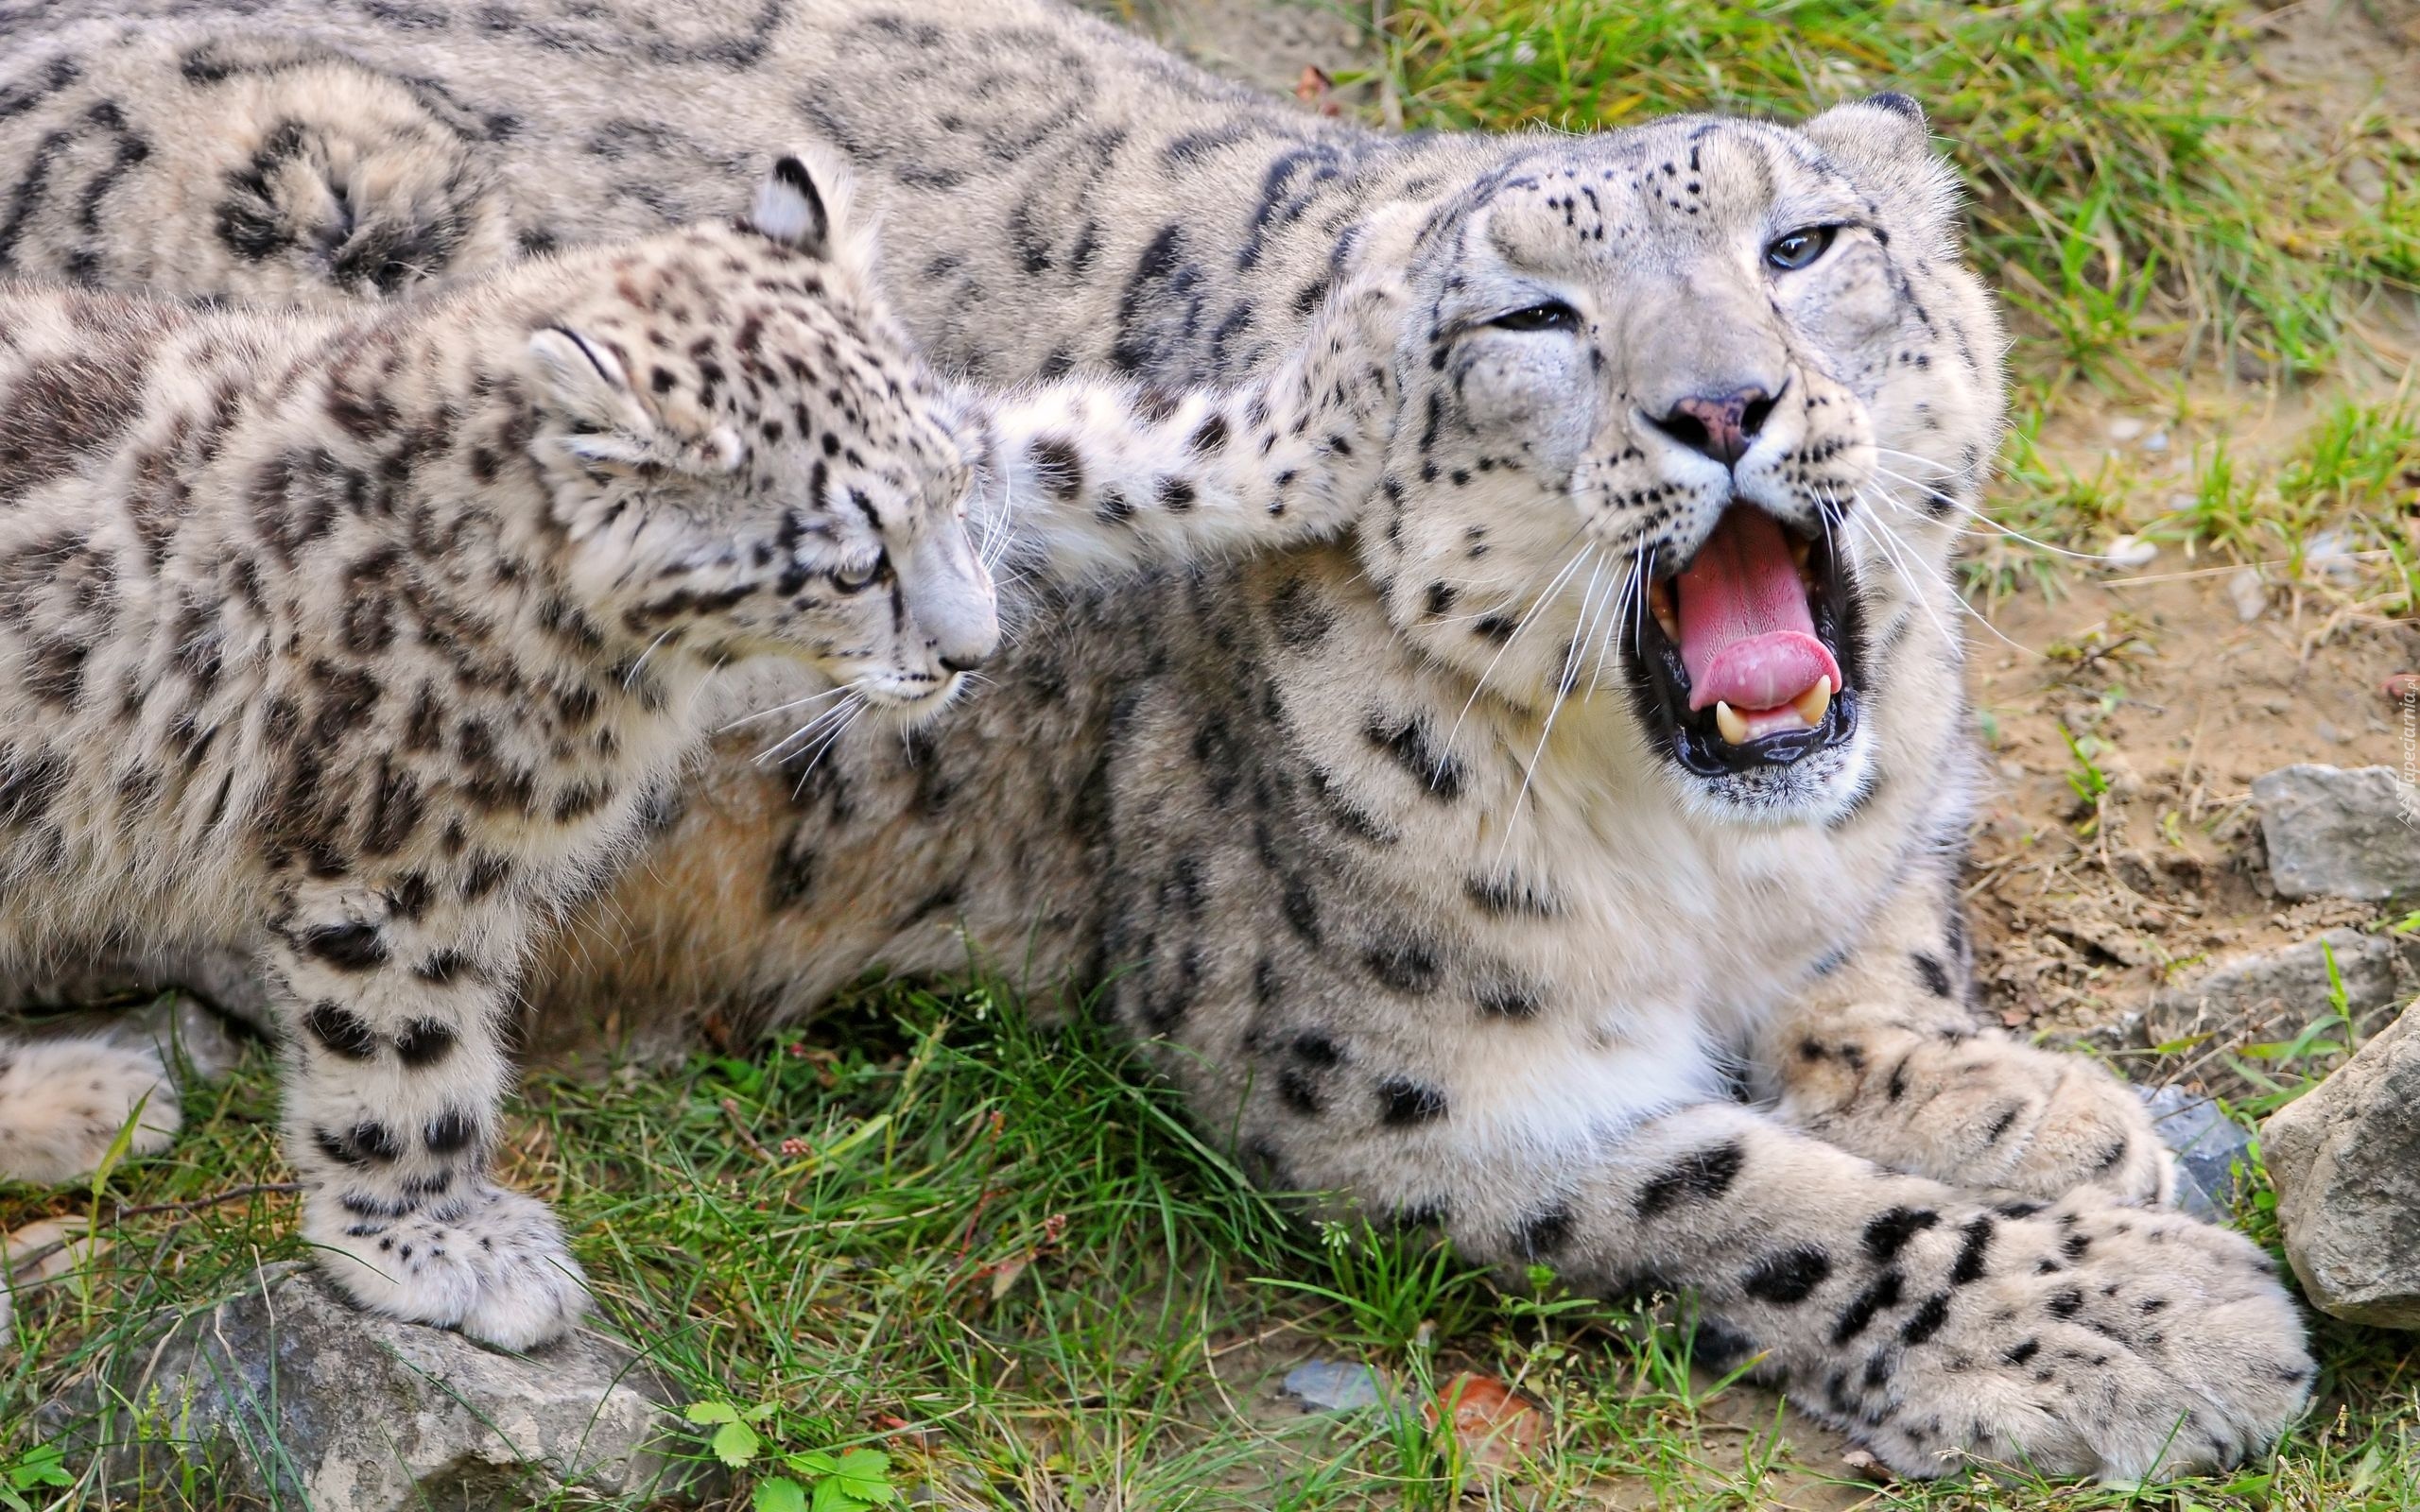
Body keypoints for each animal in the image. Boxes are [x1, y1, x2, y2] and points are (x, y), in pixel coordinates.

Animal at [0, 145, 1408, 1346]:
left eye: (956, 488)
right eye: (849, 562)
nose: (972, 651)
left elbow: (1066, 448)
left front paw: (1346, 383)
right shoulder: (396, 858)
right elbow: (406, 1057)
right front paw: (443, 1246)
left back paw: (95, 1098)